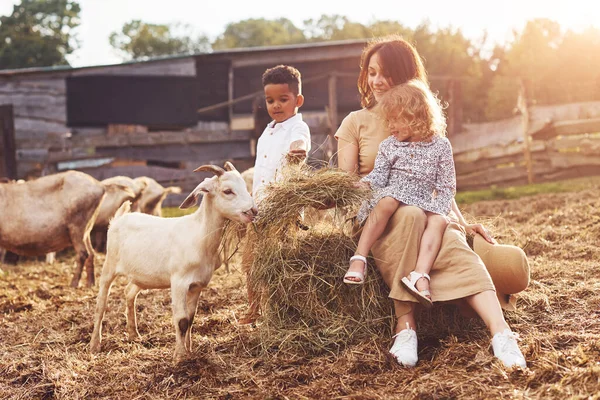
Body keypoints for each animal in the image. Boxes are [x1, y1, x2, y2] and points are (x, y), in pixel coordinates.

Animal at [89, 162, 258, 362]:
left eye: (244, 186)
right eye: (227, 191)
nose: (253, 211)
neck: (199, 235)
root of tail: (119, 218)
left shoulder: (197, 285)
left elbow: (191, 318)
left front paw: (190, 350)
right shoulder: (178, 282)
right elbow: (182, 319)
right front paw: (179, 356)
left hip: (141, 276)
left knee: (128, 292)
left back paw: (133, 334)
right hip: (109, 265)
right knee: (101, 304)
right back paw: (94, 344)